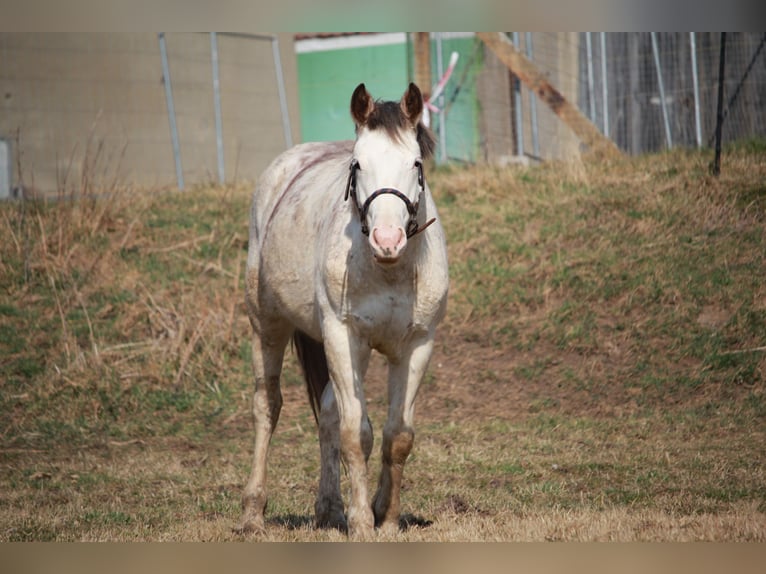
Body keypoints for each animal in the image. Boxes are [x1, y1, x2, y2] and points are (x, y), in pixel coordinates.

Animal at [240, 82, 450, 540]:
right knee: (268, 405)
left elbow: (397, 436)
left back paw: (329, 509)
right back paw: (253, 513)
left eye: (415, 163)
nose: (387, 239)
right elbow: (358, 434)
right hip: (268, 326)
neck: (389, 271)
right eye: (357, 164)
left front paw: (385, 518)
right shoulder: (342, 336)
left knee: (329, 414)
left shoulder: (417, 344)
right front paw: (362, 524)